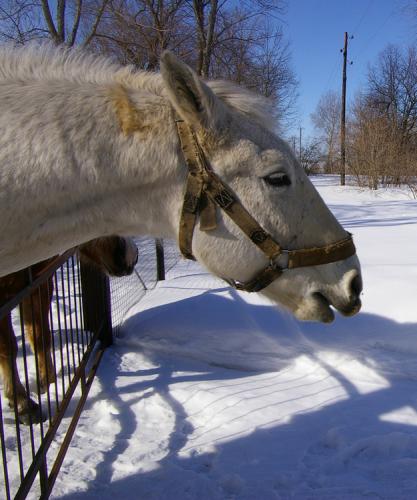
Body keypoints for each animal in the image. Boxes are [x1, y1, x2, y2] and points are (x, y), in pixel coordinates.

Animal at [0, 236, 137, 424]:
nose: (132, 256)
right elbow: (8, 348)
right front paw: (23, 404)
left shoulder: (38, 284)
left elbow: (40, 336)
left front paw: (48, 382)